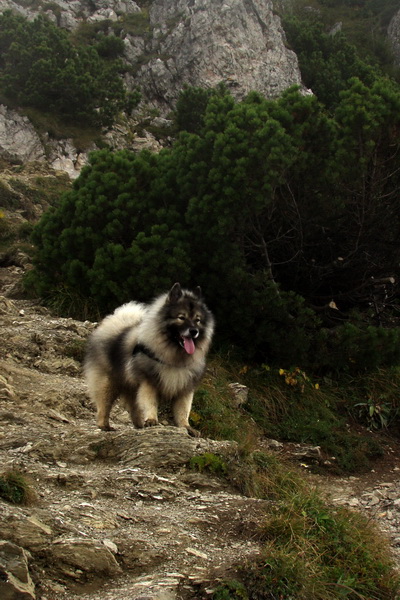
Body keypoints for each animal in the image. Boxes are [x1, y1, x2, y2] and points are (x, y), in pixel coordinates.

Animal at [85, 284, 216, 438]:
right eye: (181, 317)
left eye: (197, 320)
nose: (194, 331)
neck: (173, 357)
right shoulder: (148, 383)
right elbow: (150, 403)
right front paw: (152, 420)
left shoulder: (185, 387)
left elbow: (183, 411)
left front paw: (186, 427)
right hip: (109, 382)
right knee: (104, 404)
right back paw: (104, 425)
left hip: (130, 385)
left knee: (133, 406)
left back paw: (139, 425)